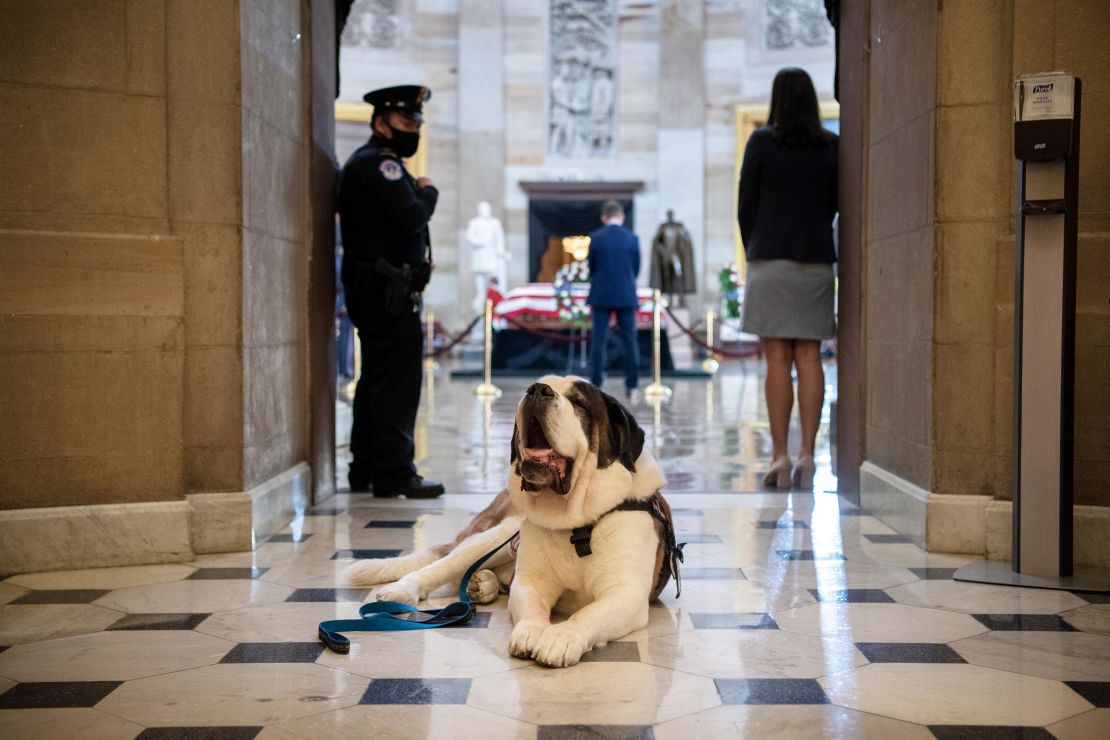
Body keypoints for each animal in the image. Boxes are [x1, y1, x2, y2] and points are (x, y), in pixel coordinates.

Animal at [344, 372, 683, 670]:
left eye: (579, 403)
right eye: (540, 385)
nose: (538, 390)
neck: (577, 522)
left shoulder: (625, 595)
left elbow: (589, 613)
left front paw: (560, 637)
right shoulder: (532, 581)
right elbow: (531, 602)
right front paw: (532, 632)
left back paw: (483, 584)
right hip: (495, 535)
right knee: (439, 565)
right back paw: (405, 589)